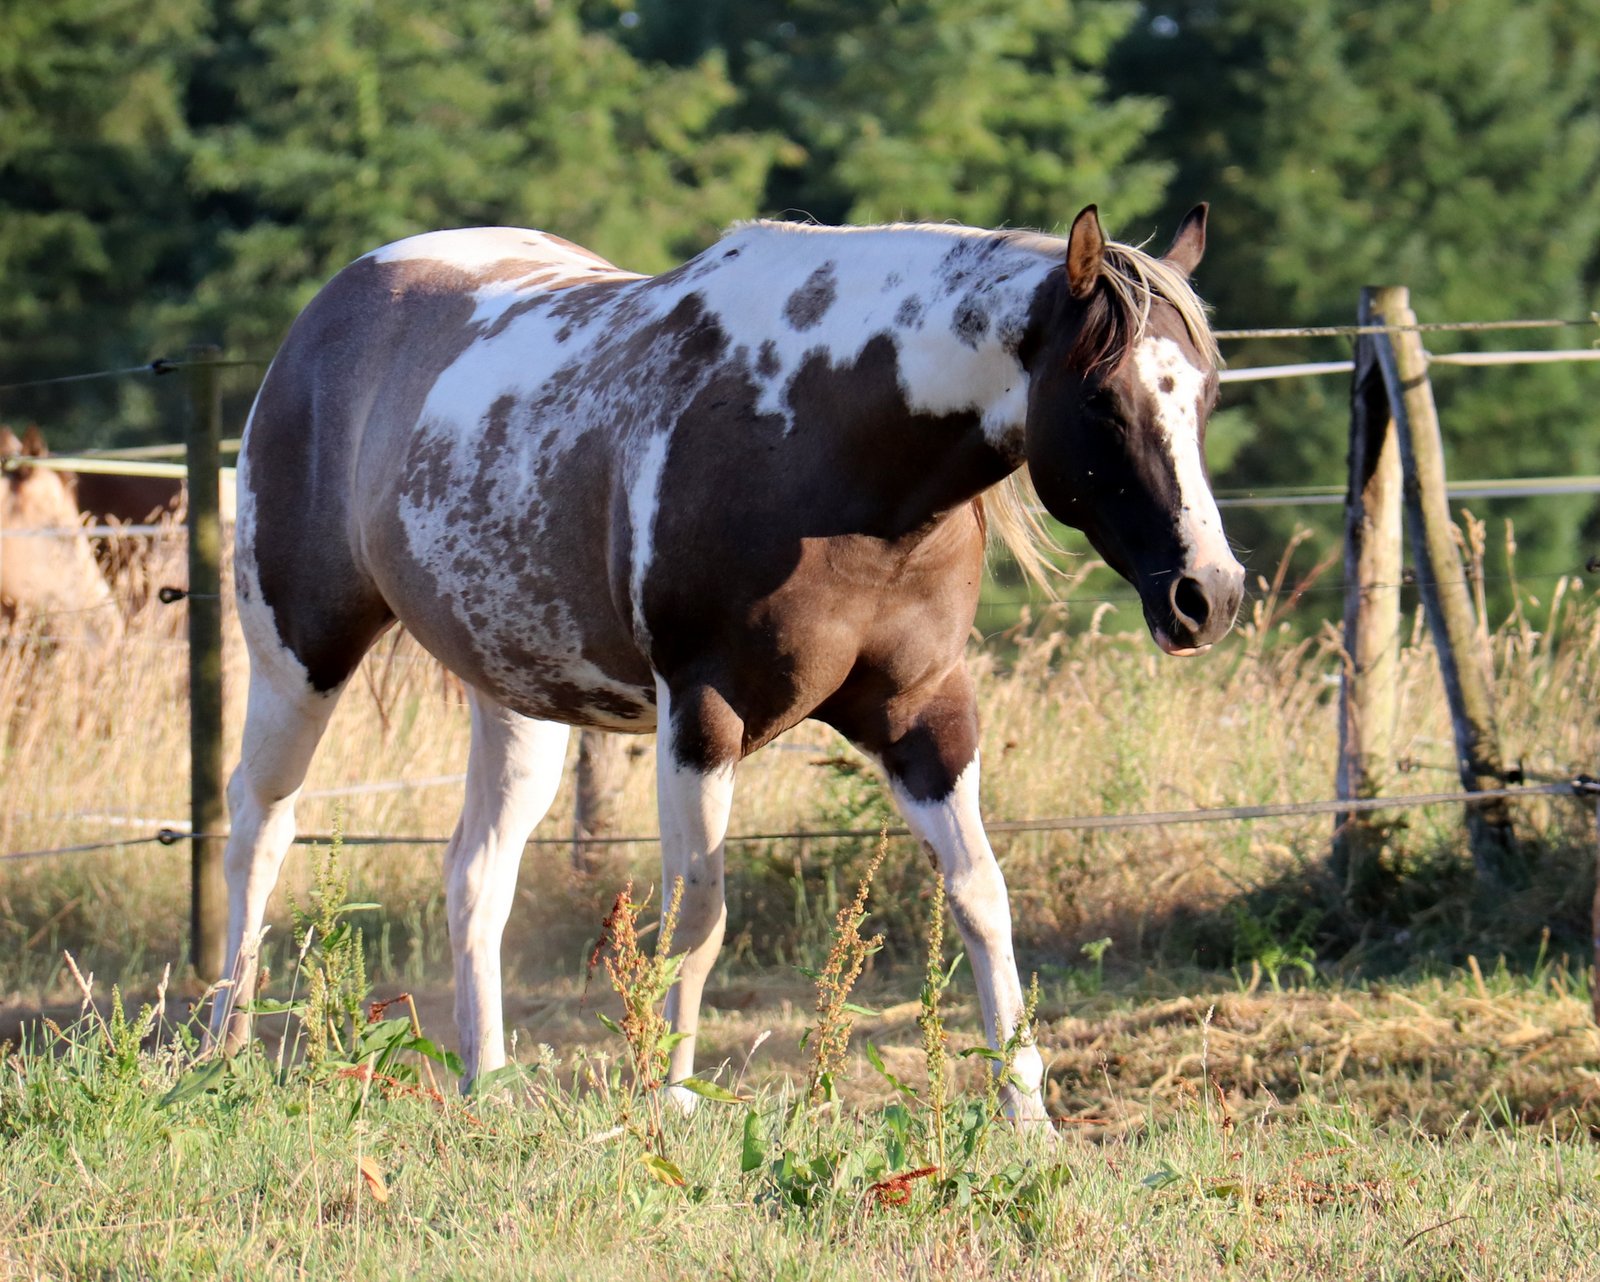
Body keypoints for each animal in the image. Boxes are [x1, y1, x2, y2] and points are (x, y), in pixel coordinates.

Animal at [213, 204, 1245, 1119]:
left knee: (476, 875)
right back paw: (221, 1052)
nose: (1210, 594)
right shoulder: (703, 712)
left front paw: (1026, 1115)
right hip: (299, 656)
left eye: (1206, 394)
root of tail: (337, 304)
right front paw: (669, 1101)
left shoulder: (925, 711)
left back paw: (486, 1086)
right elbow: (698, 917)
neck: (824, 447)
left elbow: (982, 895)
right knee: (258, 827)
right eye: (1104, 399)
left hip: (519, 698)